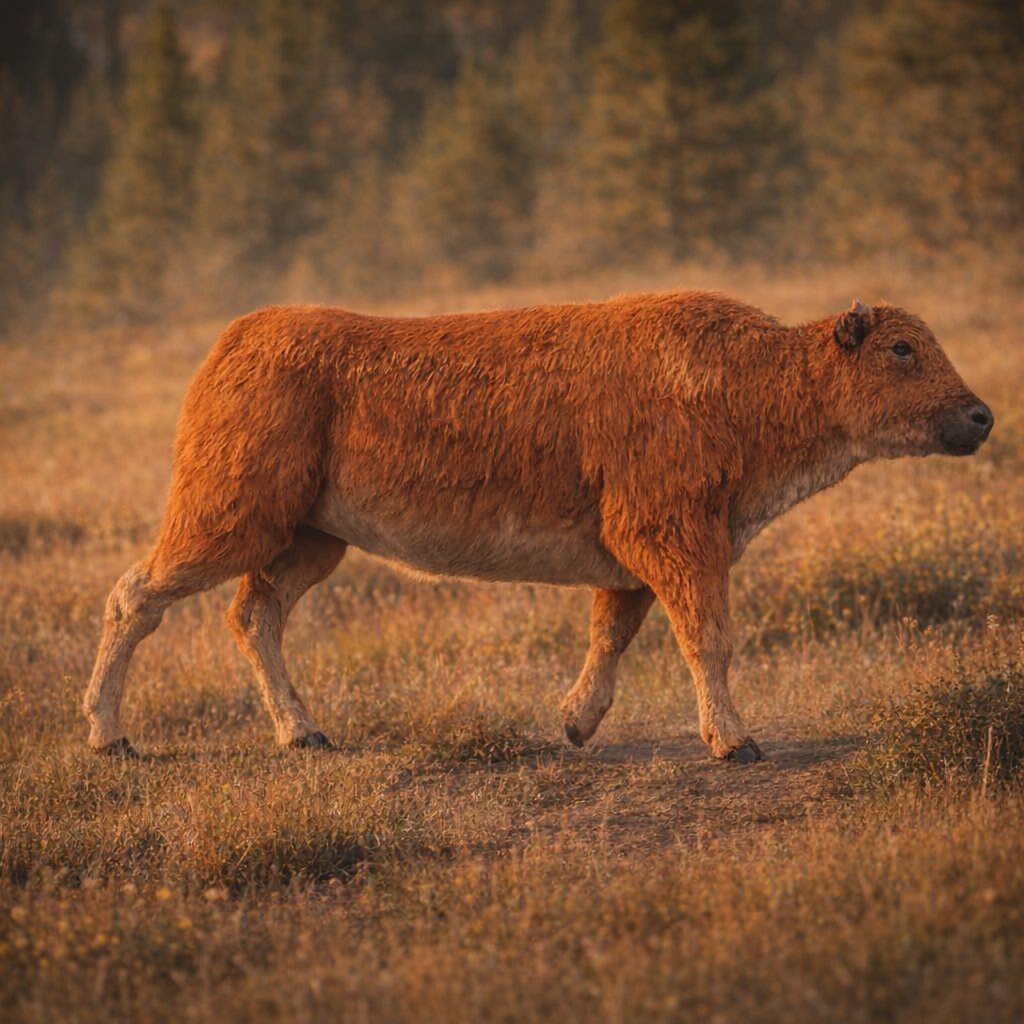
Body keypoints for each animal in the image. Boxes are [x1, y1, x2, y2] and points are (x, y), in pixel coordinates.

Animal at [84, 291, 993, 762]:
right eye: (903, 350)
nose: (980, 416)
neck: (746, 378)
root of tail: (234, 342)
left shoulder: (632, 565)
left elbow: (613, 637)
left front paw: (575, 724)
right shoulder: (676, 542)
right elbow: (708, 638)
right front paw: (734, 743)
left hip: (309, 541)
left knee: (255, 615)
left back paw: (304, 734)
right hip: (228, 523)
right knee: (138, 594)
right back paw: (109, 739)